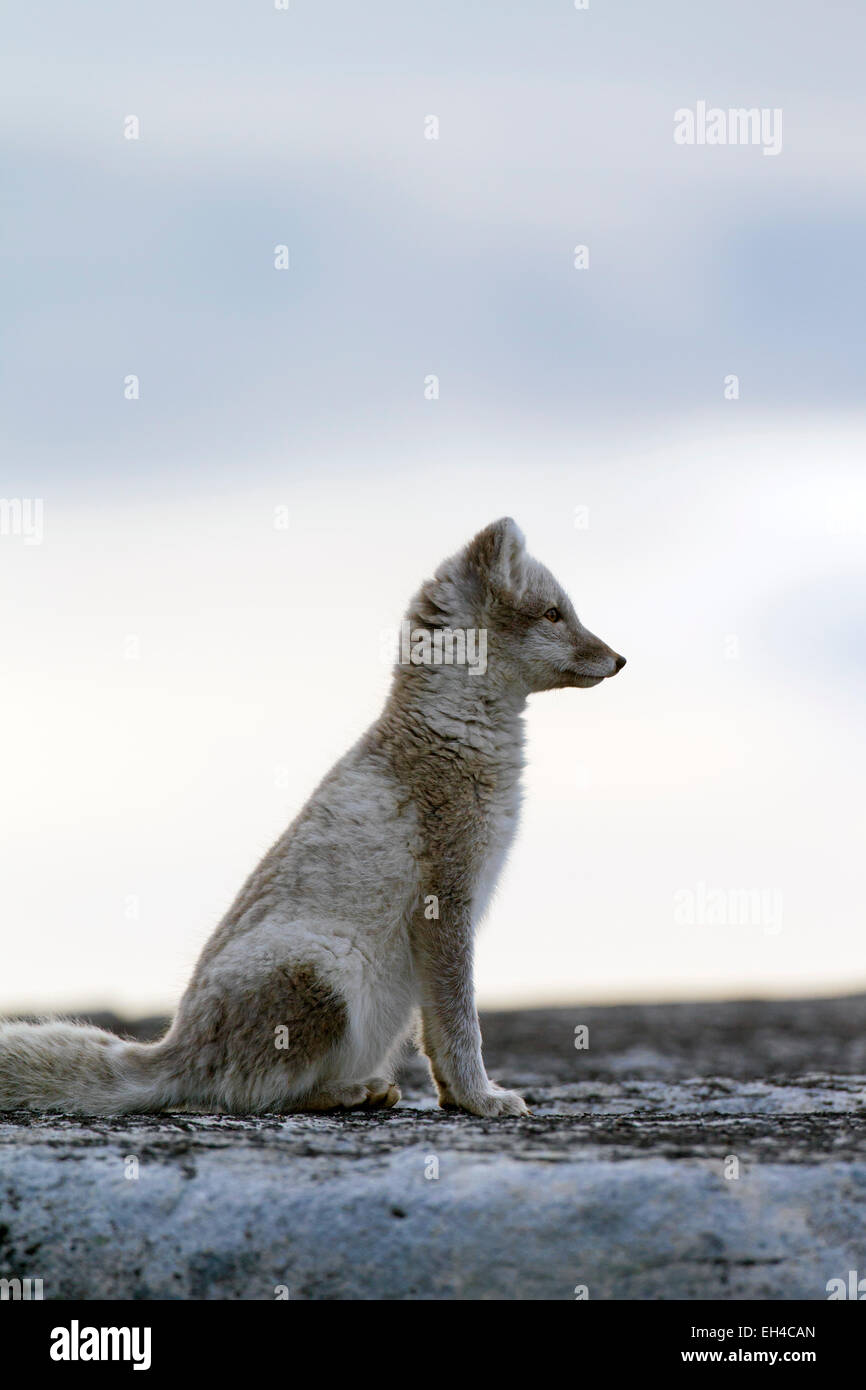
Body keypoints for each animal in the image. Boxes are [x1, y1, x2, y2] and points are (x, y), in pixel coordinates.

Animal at [0, 522, 625, 1117]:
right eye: (554, 614)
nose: (622, 659)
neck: (451, 734)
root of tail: (175, 1050)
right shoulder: (446, 901)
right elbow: (459, 1025)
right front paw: (481, 1099)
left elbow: (439, 1032)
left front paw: (457, 1098)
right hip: (325, 972)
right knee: (247, 1097)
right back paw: (346, 1093)